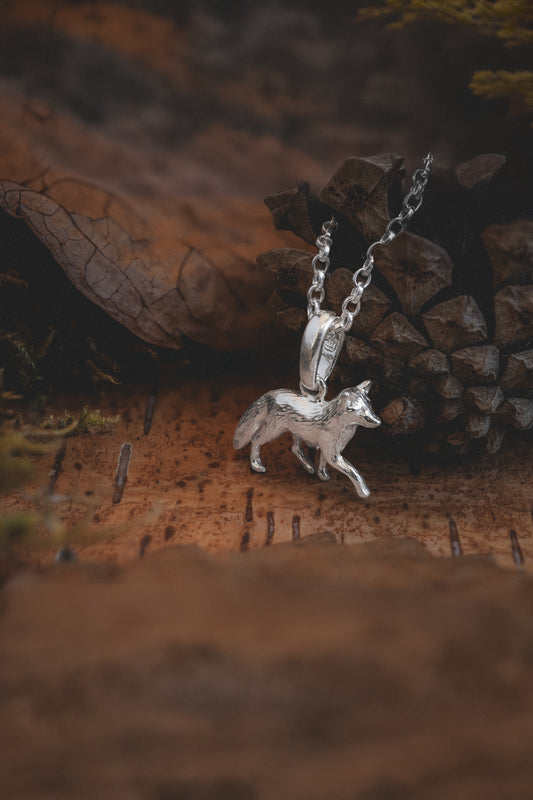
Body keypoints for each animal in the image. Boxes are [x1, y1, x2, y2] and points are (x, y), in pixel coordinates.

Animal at [233, 380, 381, 498]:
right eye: (357, 410)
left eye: (369, 405)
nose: (378, 422)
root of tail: (273, 393)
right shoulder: (333, 455)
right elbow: (353, 472)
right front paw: (364, 491)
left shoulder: (328, 450)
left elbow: (322, 463)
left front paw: (322, 476)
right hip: (274, 432)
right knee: (255, 439)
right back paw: (256, 465)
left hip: (295, 432)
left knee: (294, 448)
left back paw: (309, 466)